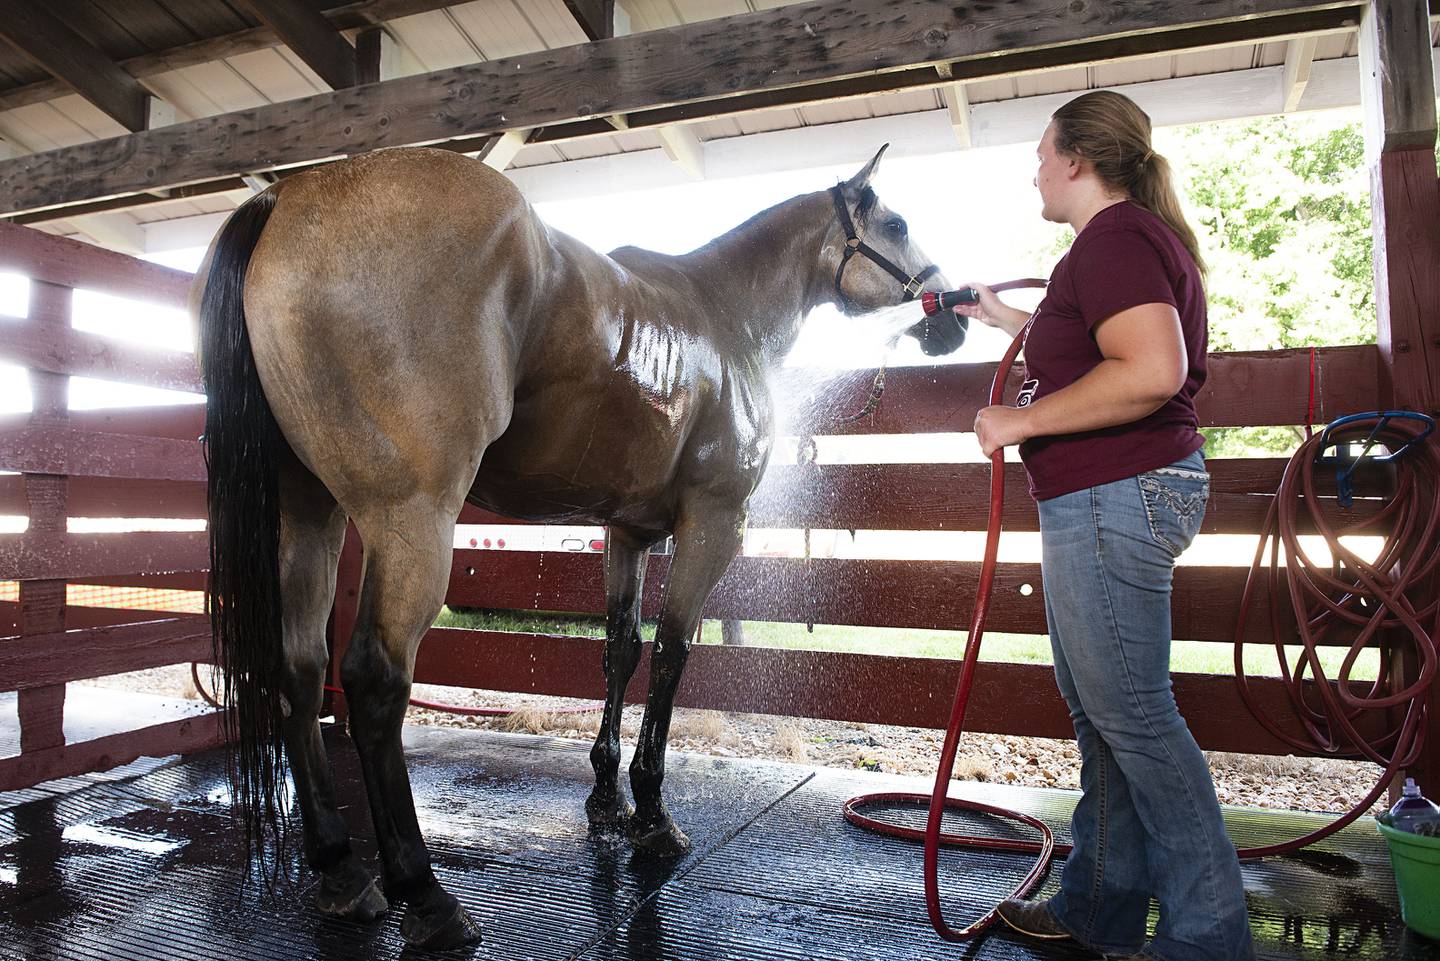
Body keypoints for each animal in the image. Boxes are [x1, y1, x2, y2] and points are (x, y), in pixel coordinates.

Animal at [188, 142, 956, 945]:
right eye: (898, 224)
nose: (951, 313)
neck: (724, 314)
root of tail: (287, 199)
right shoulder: (713, 524)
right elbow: (673, 652)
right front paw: (651, 813)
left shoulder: (629, 531)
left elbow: (621, 649)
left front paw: (607, 800)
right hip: (410, 519)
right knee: (373, 680)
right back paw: (424, 893)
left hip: (309, 515)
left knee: (299, 668)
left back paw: (339, 868)